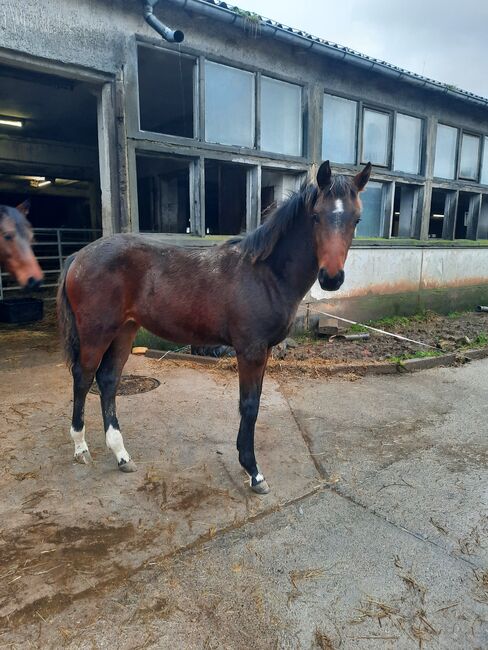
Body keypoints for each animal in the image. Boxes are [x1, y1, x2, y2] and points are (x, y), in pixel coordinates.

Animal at [58, 161, 370, 492]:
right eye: (316, 216)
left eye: (356, 219)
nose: (331, 278)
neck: (266, 274)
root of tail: (79, 255)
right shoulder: (250, 350)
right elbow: (249, 405)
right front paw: (253, 471)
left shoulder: (264, 351)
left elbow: (255, 402)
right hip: (96, 333)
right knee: (83, 377)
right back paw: (81, 447)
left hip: (124, 331)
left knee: (108, 380)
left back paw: (121, 454)